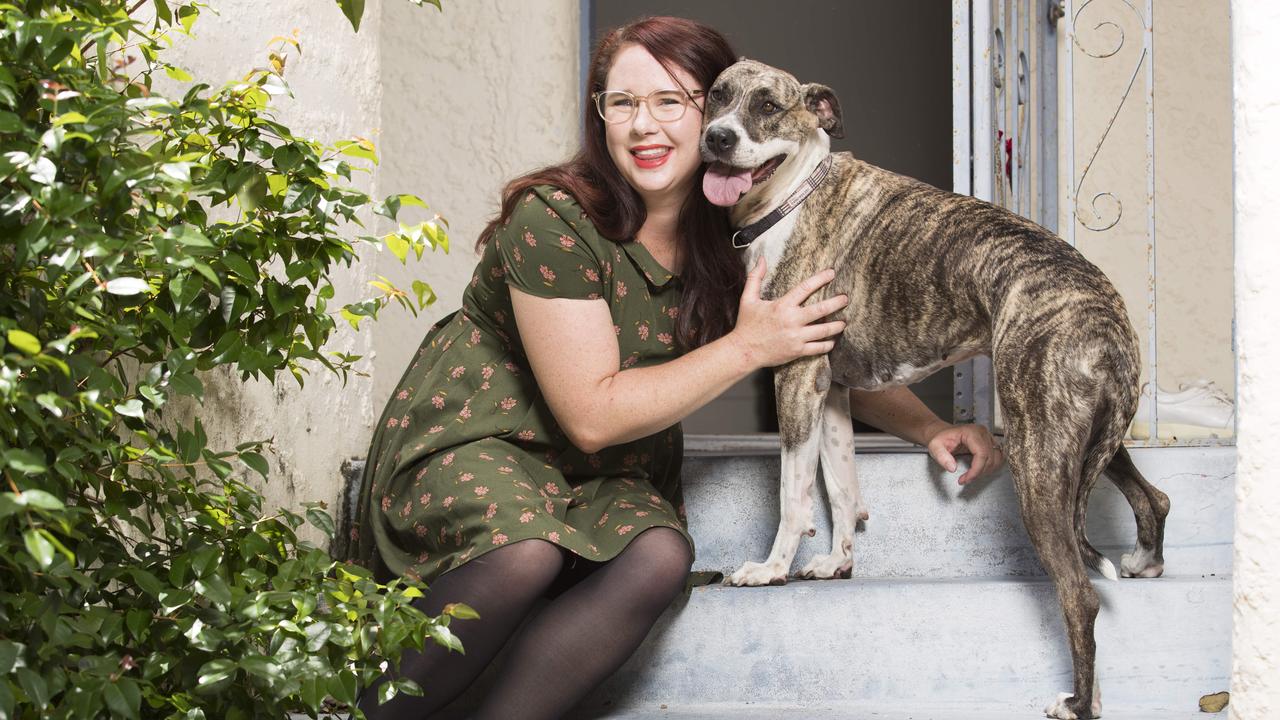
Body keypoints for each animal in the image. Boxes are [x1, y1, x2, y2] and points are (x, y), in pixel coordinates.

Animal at [701, 60, 1172, 717]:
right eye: (716, 95)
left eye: (768, 105)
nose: (717, 138)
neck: (793, 196)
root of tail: (1107, 313)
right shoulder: (833, 392)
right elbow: (841, 488)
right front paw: (838, 562)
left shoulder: (795, 377)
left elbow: (794, 494)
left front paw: (771, 569)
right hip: (1087, 438)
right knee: (1153, 497)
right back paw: (1144, 564)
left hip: (1039, 461)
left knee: (1080, 595)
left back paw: (1078, 703)